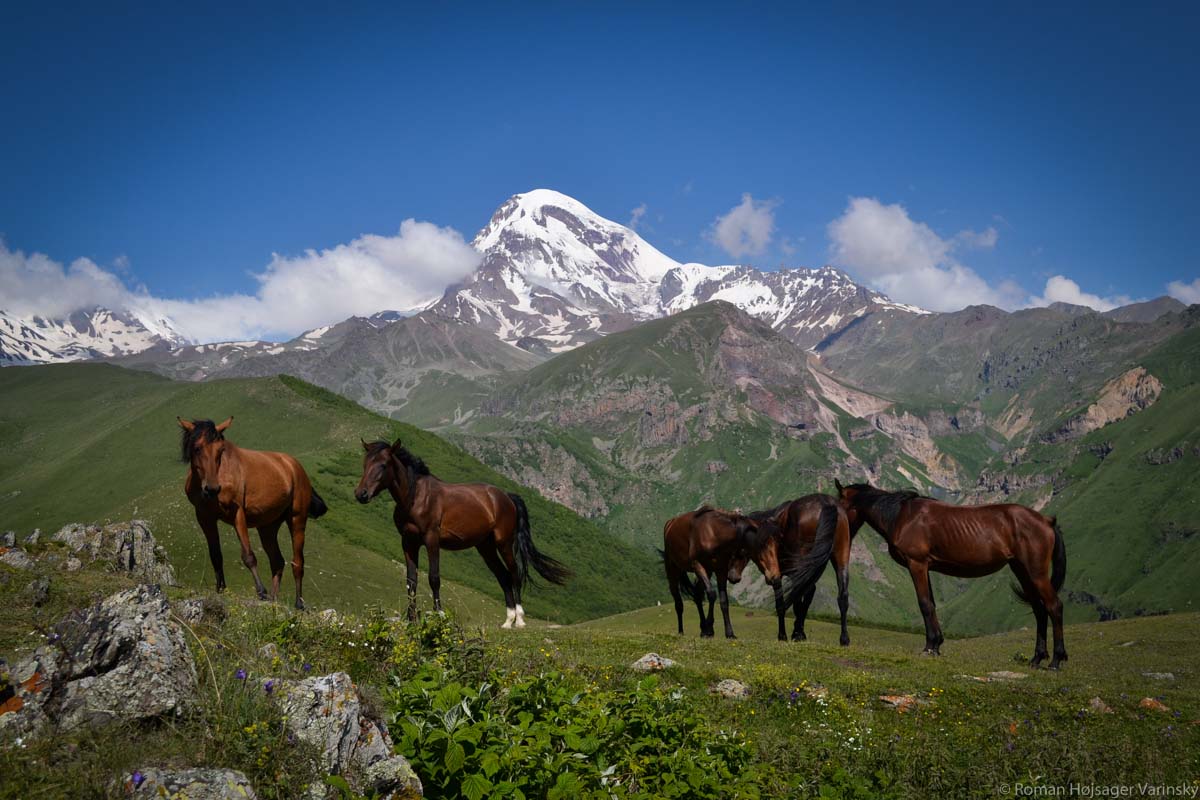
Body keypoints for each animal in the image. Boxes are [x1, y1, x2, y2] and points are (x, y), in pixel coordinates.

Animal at [177, 417, 328, 609]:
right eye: (197, 448)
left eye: (221, 450)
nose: (212, 489)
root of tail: (295, 466)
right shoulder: (205, 517)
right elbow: (216, 555)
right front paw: (221, 589)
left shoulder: (237, 513)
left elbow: (248, 556)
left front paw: (261, 591)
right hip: (268, 527)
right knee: (277, 561)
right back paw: (274, 599)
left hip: (297, 519)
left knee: (298, 563)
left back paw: (298, 604)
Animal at [352, 441, 568, 628]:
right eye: (365, 463)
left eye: (383, 465)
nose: (361, 494)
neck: (416, 497)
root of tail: (506, 496)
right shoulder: (408, 543)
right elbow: (411, 581)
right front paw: (411, 620)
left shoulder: (431, 540)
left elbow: (434, 578)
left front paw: (439, 614)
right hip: (485, 547)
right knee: (504, 576)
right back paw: (508, 621)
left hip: (504, 543)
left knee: (515, 573)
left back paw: (520, 620)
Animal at [662, 506, 772, 642]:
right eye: (741, 551)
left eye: (748, 556)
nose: (735, 578)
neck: (713, 534)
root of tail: (670, 524)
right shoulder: (698, 564)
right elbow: (711, 594)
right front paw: (709, 630)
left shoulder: (721, 571)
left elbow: (724, 601)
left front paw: (729, 633)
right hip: (673, 569)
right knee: (678, 601)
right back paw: (681, 631)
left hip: (708, 572)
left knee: (697, 595)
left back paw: (702, 628)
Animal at [835, 482, 1070, 671]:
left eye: (840, 506)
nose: (840, 536)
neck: (902, 516)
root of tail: (1046, 521)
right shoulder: (927, 567)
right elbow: (931, 604)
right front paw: (936, 644)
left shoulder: (917, 564)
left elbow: (924, 604)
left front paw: (929, 647)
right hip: (1022, 571)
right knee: (1039, 610)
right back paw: (1036, 658)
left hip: (1036, 573)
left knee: (1054, 607)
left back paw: (1055, 661)